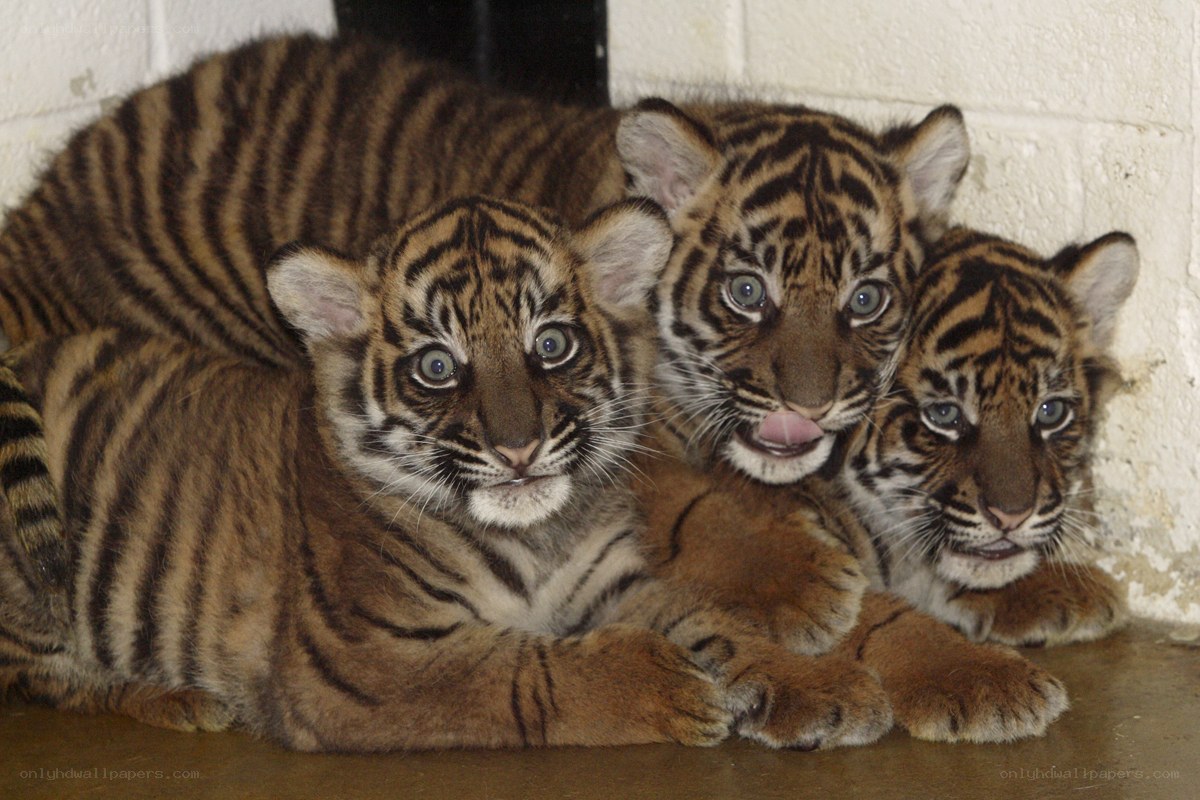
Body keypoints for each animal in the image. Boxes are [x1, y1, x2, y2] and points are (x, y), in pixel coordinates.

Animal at [0, 34, 970, 649]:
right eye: (746, 293)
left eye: (867, 298)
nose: (814, 404)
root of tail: (37, 210)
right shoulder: (614, 436)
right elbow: (694, 502)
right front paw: (802, 579)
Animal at [0, 195, 896, 751]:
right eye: (437, 366)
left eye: (551, 345)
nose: (517, 449)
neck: (536, 533)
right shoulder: (363, 662)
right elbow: (520, 672)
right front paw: (664, 686)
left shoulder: (610, 582)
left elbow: (710, 618)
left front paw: (823, 685)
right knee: (45, 681)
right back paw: (175, 698)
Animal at [633, 227, 1136, 741]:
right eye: (944, 415)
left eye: (1051, 413)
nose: (1013, 517)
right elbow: (873, 617)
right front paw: (982, 678)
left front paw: (1061, 588)